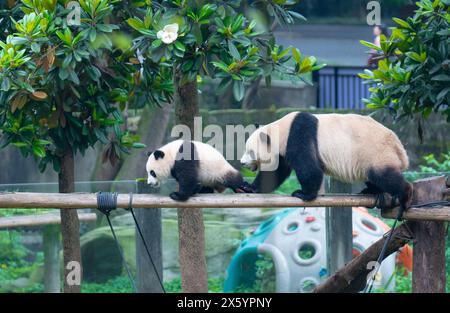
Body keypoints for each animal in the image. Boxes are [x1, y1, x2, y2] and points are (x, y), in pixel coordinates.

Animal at [241, 111, 414, 212]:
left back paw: (405, 194)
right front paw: (248, 187)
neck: (282, 129)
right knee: (375, 177)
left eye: (250, 152)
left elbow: (309, 168)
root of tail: (400, 150)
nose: (242, 163)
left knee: (384, 176)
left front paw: (303, 194)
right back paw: (370, 190)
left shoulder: (300, 134)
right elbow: (276, 172)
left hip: (376, 152)